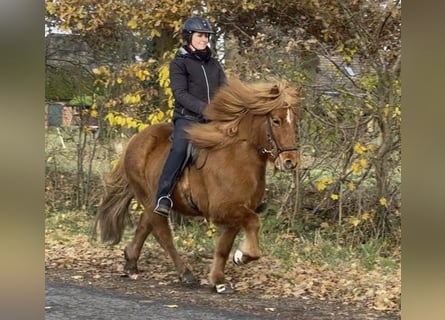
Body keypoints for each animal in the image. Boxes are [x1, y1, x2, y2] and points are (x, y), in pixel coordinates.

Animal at [95, 79, 300, 294]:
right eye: (276, 121)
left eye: (293, 120)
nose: (290, 161)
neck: (238, 157)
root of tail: (135, 140)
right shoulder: (222, 210)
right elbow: (253, 223)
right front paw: (241, 257)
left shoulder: (238, 212)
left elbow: (223, 247)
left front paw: (219, 281)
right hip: (149, 198)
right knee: (163, 235)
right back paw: (185, 274)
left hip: (151, 201)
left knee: (145, 225)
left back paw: (130, 263)